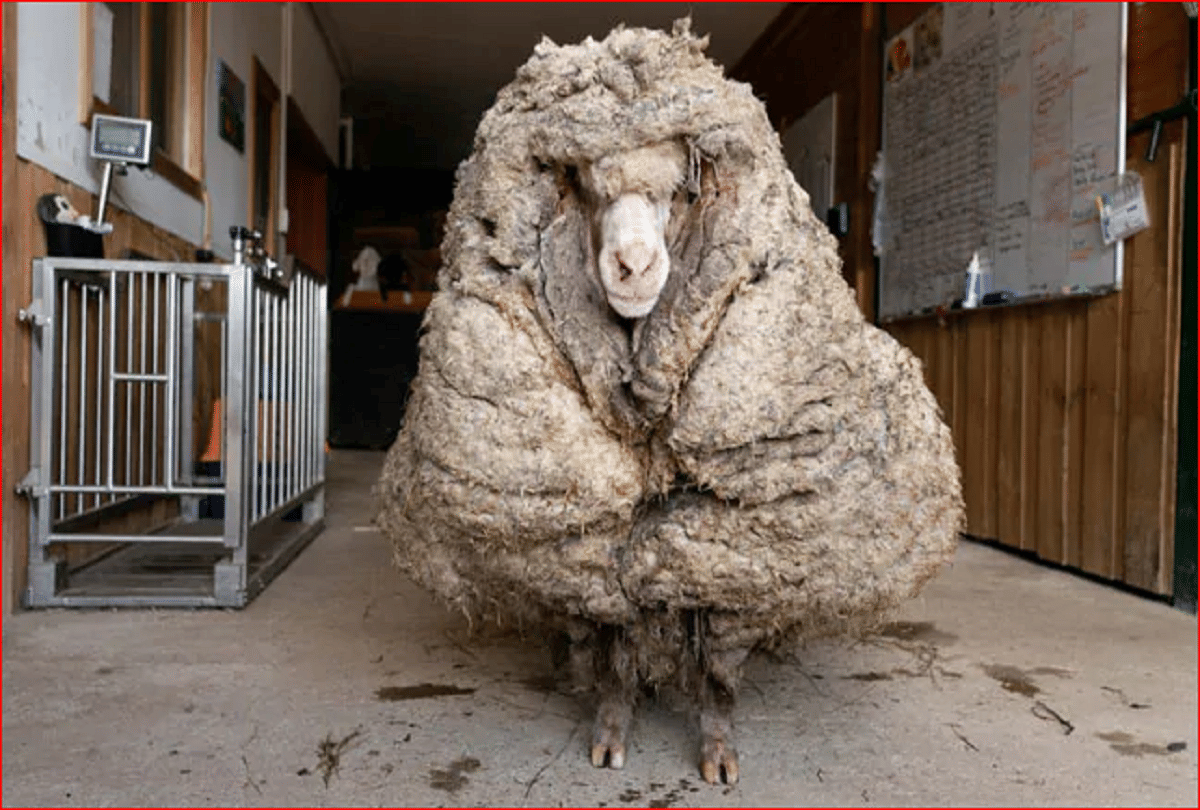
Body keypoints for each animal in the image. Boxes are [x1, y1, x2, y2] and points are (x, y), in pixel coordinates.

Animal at [377, 19, 963, 786]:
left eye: (680, 195)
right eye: (586, 187)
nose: (633, 266)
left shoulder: (735, 539)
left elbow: (715, 658)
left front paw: (717, 749)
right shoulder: (588, 543)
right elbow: (611, 641)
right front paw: (610, 729)